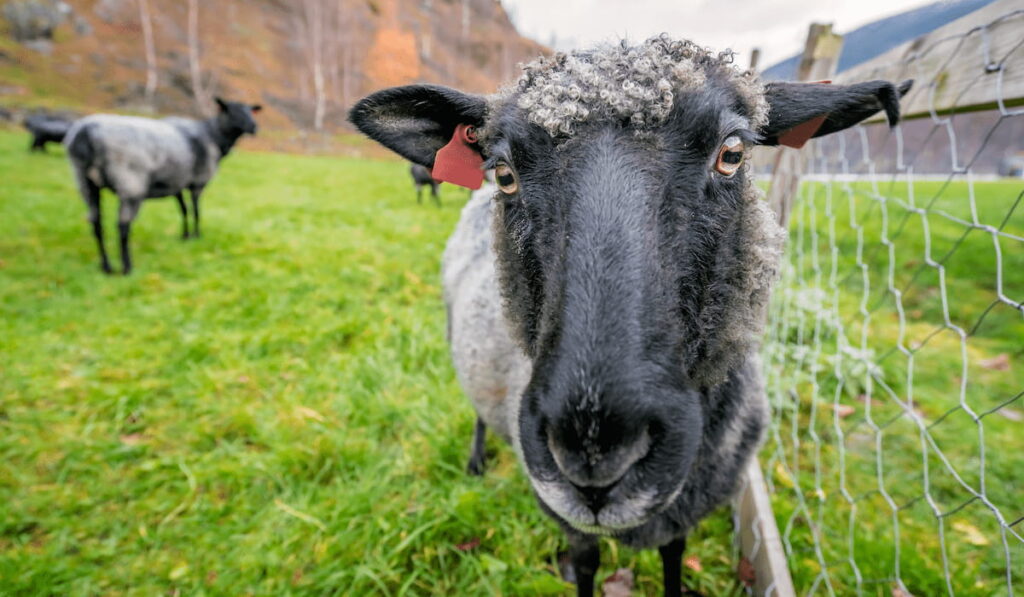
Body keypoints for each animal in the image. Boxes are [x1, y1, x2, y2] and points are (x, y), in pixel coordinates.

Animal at [62, 98, 260, 276]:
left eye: (250, 111)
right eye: (232, 111)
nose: (254, 127)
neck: (212, 136)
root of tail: (86, 133)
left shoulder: (176, 183)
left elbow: (184, 210)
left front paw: (185, 236)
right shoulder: (197, 182)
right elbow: (196, 211)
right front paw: (196, 235)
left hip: (85, 183)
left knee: (96, 223)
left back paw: (106, 267)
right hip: (131, 183)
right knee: (122, 226)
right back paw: (127, 267)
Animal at [352, 37, 913, 597]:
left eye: (732, 154)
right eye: (505, 174)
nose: (594, 453)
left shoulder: (683, 513)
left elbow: (673, 556)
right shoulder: (569, 521)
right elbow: (585, 565)